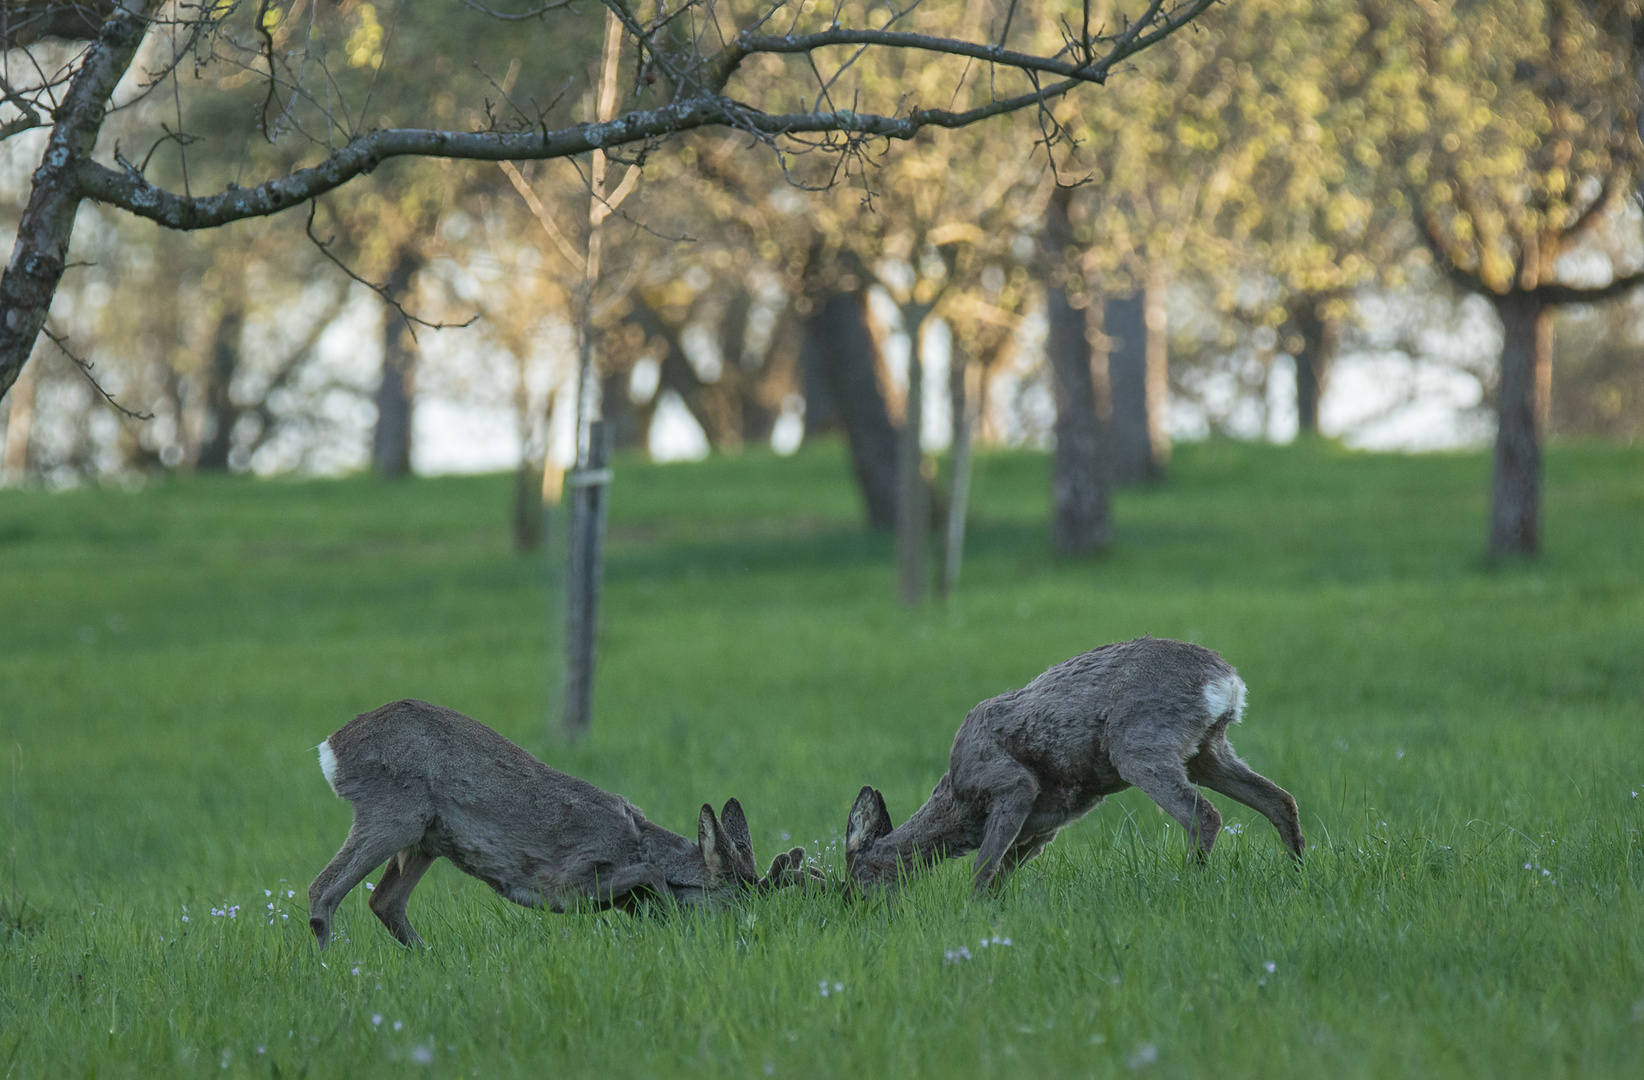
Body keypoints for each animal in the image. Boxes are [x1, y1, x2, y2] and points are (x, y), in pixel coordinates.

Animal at [309, 700, 815, 946]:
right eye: (727, 902)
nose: (742, 935)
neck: (634, 841)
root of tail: (330, 749)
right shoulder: (566, 881)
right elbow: (651, 874)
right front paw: (667, 917)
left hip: (425, 838)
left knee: (384, 901)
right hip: (394, 812)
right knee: (324, 889)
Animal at [841, 631, 1302, 894]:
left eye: (859, 874)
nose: (852, 906)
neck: (958, 801)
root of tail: (1228, 681)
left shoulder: (1011, 785)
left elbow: (983, 866)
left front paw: (971, 913)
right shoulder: (1043, 827)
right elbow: (1001, 872)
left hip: (1139, 743)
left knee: (1204, 814)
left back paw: (1190, 886)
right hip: (1208, 750)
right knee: (1280, 799)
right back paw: (1298, 875)